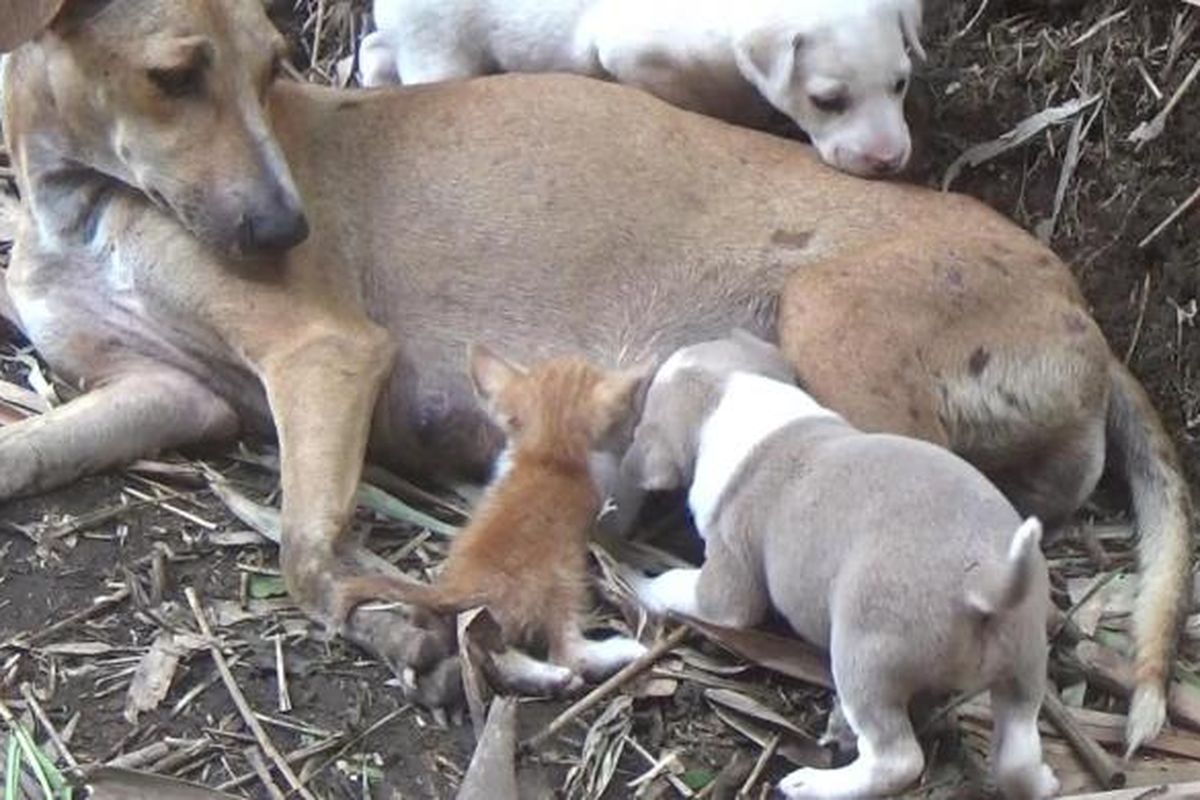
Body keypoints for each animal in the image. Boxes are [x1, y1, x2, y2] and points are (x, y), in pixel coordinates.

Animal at [360, 0, 921, 175]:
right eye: (828, 101)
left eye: (900, 83)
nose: (889, 162)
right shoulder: (634, 57)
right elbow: (701, 100)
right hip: (441, 52)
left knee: (372, 48)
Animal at [624, 331, 1056, 800]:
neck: (734, 393)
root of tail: (986, 582)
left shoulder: (726, 586)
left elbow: (681, 587)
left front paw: (637, 583)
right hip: (1025, 661)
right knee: (1016, 753)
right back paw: (1044, 781)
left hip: (863, 659)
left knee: (897, 759)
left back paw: (813, 783)